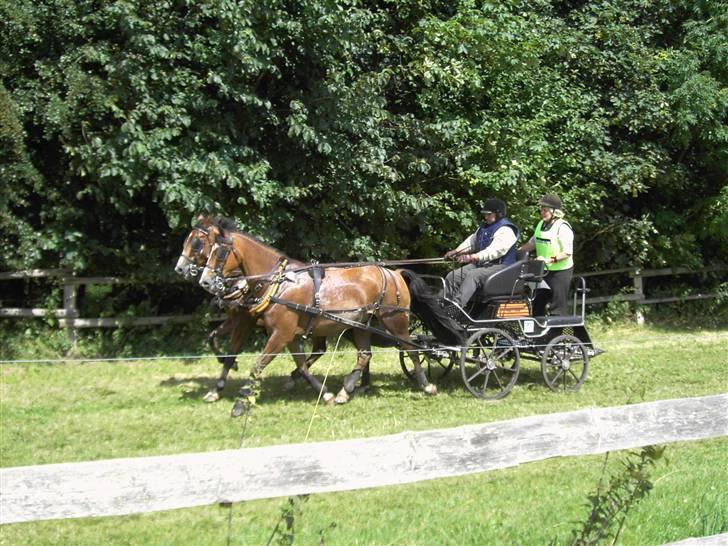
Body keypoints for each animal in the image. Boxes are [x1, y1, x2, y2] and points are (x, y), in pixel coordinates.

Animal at [174, 215, 328, 402]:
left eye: (197, 242)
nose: (179, 268)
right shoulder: (234, 318)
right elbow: (212, 338)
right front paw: (222, 371)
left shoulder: (244, 321)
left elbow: (232, 351)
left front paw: (220, 383)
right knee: (319, 350)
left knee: (319, 349)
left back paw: (294, 378)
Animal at [198, 227, 438, 406]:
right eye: (207, 250)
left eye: (219, 253)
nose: (205, 281)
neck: (279, 283)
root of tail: (394, 272)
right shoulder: (288, 336)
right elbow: (302, 366)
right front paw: (325, 393)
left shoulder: (280, 334)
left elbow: (257, 363)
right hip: (361, 324)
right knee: (364, 355)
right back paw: (345, 391)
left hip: (395, 321)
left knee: (411, 349)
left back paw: (426, 385)